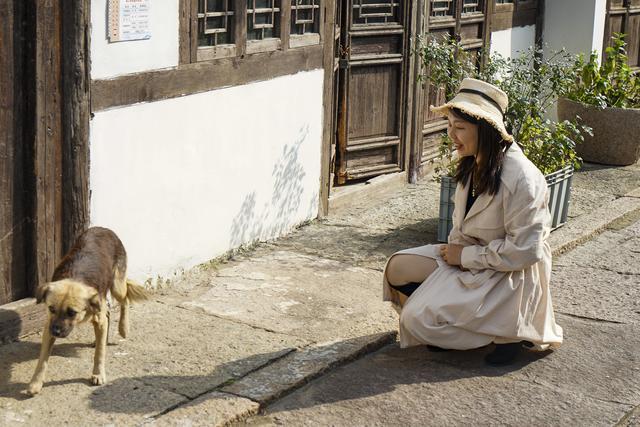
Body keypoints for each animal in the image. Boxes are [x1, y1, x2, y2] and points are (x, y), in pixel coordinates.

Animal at [26, 226, 149, 396]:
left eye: (72, 312)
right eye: (51, 308)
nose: (56, 332)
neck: (75, 278)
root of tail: (104, 229)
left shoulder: (97, 315)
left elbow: (100, 353)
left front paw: (98, 374)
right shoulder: (48, 326)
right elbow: (42, 359)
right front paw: (35, 382)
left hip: (117, 286)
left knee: (125, 301)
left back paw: (123, 328)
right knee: (108, 314)